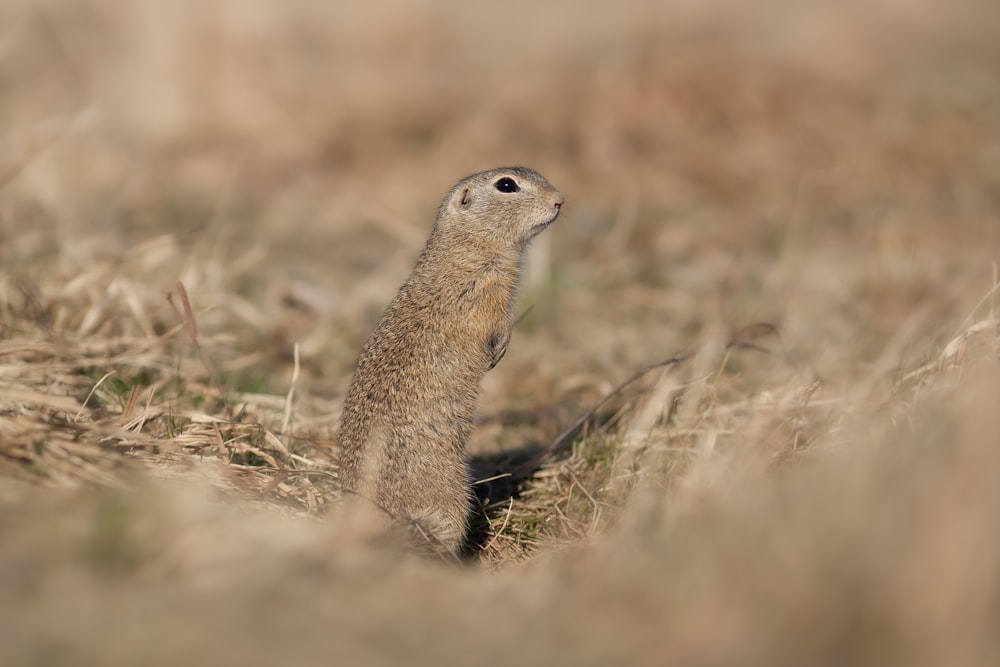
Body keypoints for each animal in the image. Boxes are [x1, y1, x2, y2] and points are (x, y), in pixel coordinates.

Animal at [340, 167, 568, 552]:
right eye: (506, 185)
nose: (560, 200)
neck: (469, 244)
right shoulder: (484, 295)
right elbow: (497, 324)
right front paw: (499, 350)